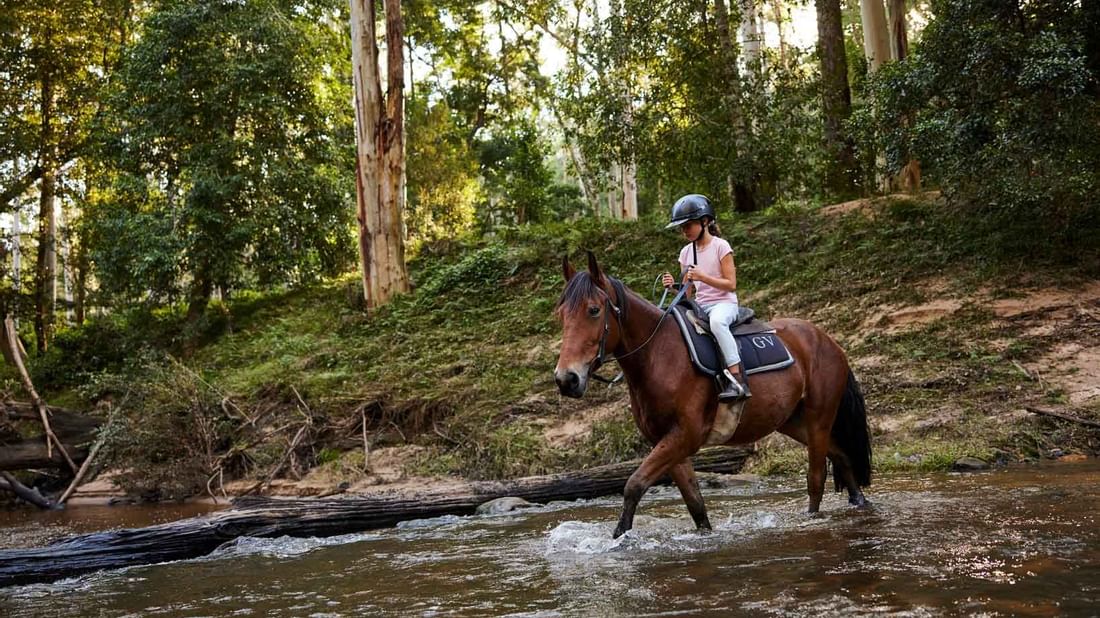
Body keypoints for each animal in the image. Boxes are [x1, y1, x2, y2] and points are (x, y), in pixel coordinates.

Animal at [554, 252, 871, 538]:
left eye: (594, 310)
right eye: (562, 314)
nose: (566, 379)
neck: (659, 356)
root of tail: (827, 340)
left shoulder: (685, 436)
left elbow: (634, 484)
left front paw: (619, 538)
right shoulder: (668, 441)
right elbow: (695, 503)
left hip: (819, 418)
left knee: (816, 477)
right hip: (793, 422)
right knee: (841, 454)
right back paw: (859, 503)